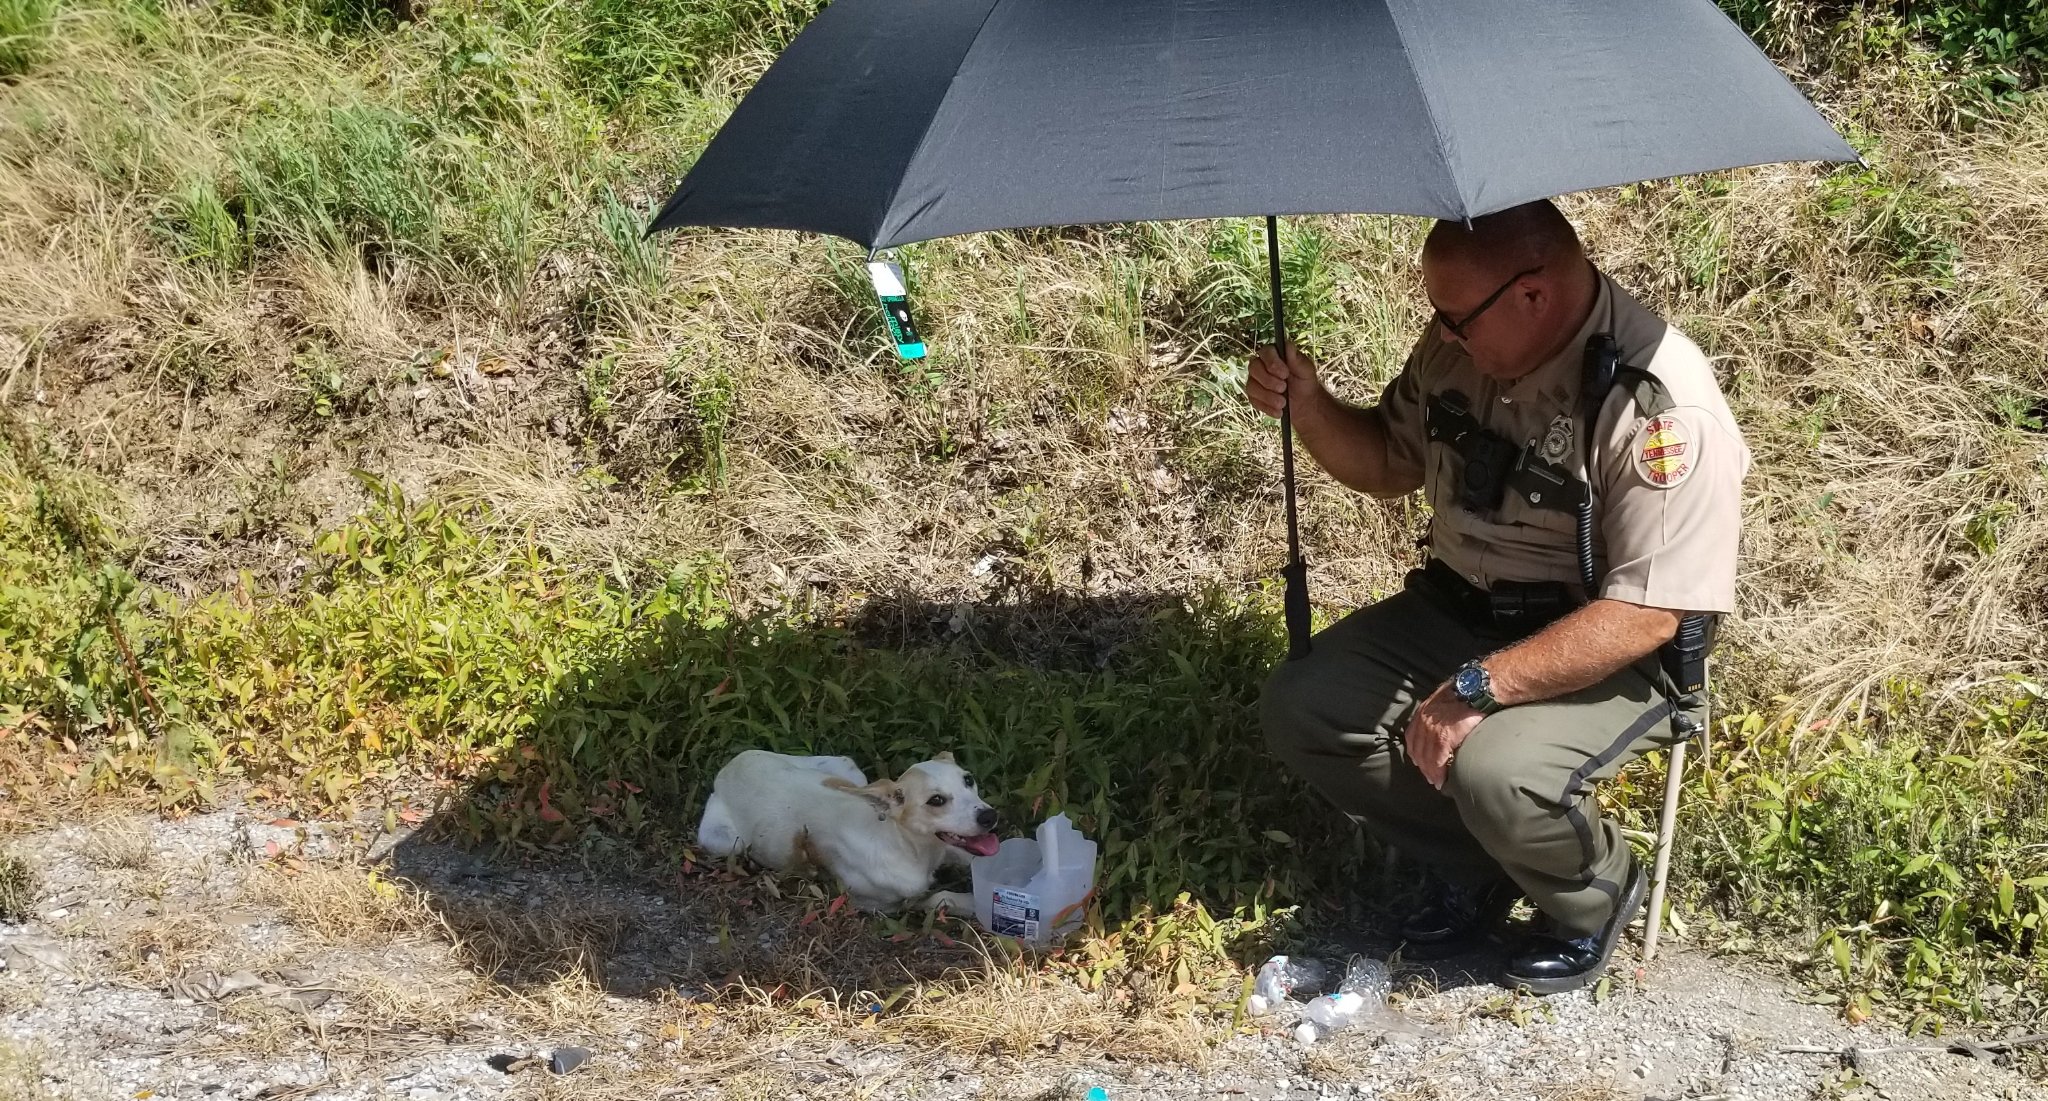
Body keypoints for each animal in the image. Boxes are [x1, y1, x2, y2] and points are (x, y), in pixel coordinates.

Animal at [696, 744, 999, 908]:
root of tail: (729, 767)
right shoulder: (880, 904)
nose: (990, 816)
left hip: (846, 767)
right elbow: (943, 898)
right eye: (936, 800)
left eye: (968, 779)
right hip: (723, 843)